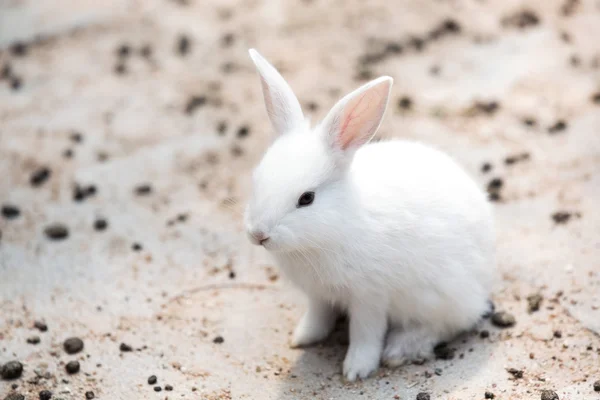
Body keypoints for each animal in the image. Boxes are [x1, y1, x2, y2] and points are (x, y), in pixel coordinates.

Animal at [244, 48, 496, 380]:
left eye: (306, 198)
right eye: (256, 179)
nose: (258, 234)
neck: (334, 226)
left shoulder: (370, 297)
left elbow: (365, 333)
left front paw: (356, 370)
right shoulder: (318, 296)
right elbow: (318, 317)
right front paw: (302, 338)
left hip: (441, 295)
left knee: (450, 323)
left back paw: (401, 349)